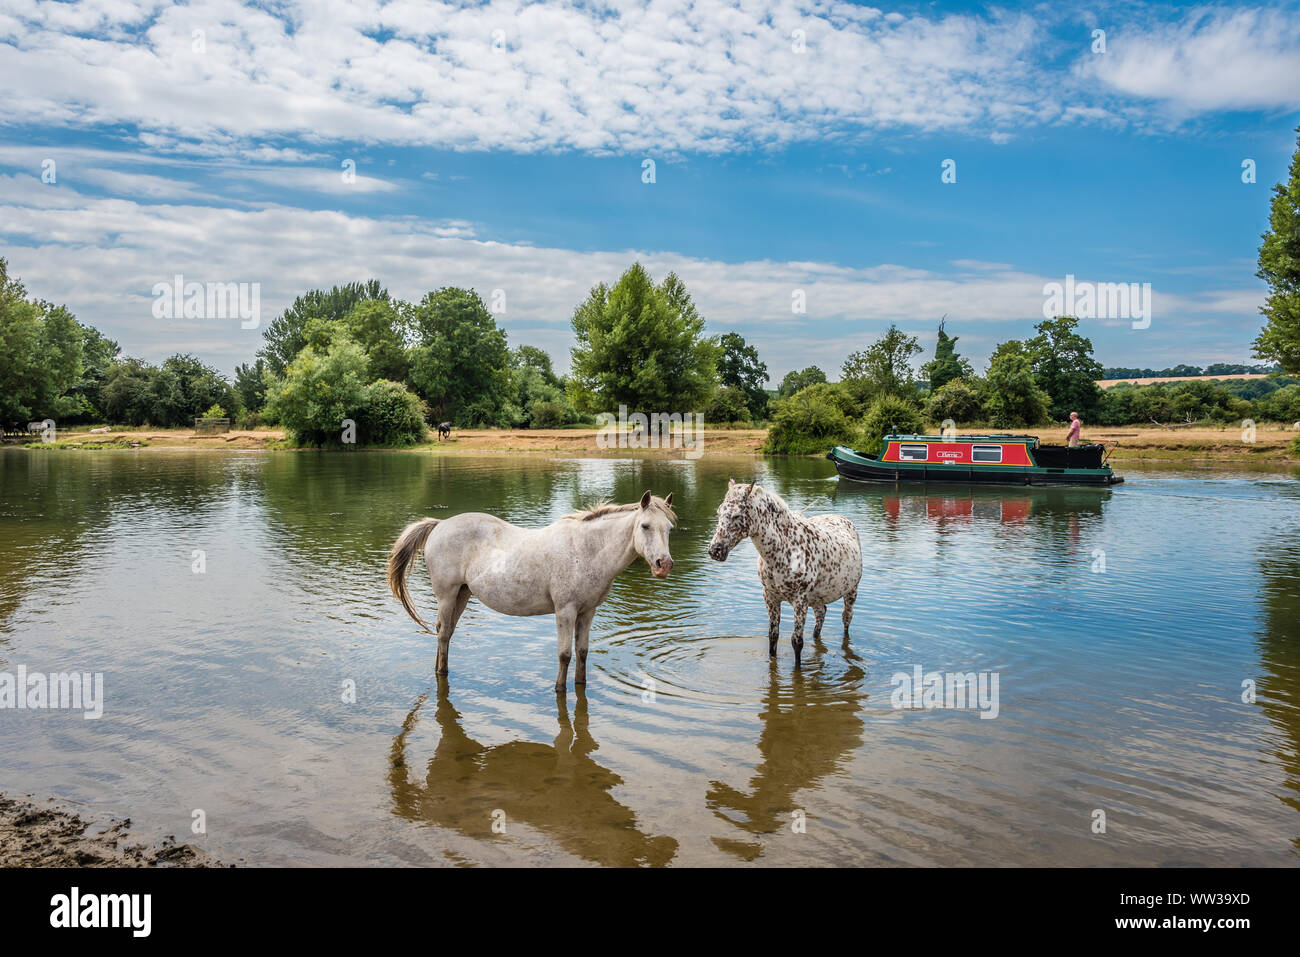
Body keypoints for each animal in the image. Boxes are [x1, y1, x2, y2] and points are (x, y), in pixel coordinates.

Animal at [387, 494, 676, 686]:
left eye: (670, 528)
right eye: (645, 526)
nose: (663, 565)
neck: (587, 550)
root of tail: (439, 524)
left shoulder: (587, 612)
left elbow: (582, 653)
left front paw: (580, 686)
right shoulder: (565, 611)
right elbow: (564, 655)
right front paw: (559, 690)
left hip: (462, 594)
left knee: (445, 633)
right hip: (446, 595)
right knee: (443, 633)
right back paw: (442, 674)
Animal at [707, 481, 857, 670]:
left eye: (736, 515)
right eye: (719, 512)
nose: (715, 550)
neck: (784, 550)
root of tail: (842, 519)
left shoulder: (800, 602)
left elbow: (797, 642)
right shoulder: (771, 597)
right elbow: (773, 636)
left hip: (851, 592)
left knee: (846, 619)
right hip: (817, 598)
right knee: (821, 615)